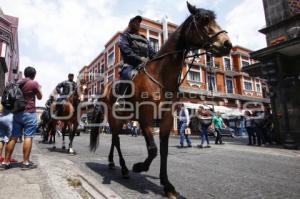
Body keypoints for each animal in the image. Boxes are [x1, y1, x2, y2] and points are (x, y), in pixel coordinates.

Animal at [89, 2, 232, 198]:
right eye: (203, 21)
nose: (227, 43)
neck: (161, 76)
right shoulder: (146, 118)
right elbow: (153, 149)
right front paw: (139, 167)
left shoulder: (166, 119)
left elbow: (163, 151)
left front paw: (167, 185)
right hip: (114, 118)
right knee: (116, 139)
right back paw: (124, 168)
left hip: (123, 119)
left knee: (114, 139)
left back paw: (112, 163)